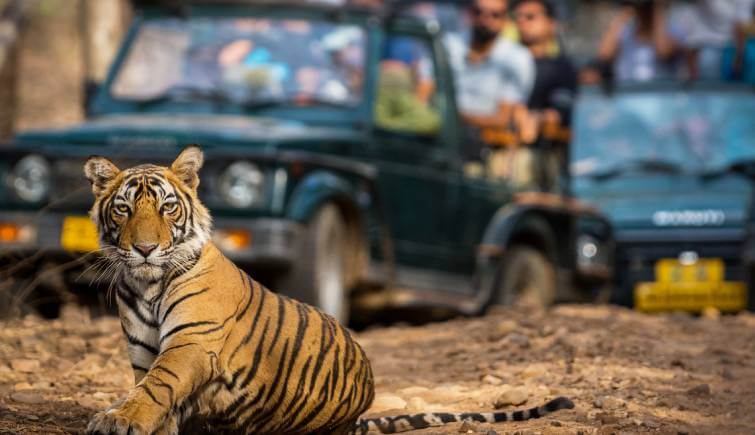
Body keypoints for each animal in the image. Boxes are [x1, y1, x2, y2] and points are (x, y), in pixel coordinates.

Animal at [82, 147, 576, 435]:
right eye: (124, 209)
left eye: (167, 208)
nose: (146, 249)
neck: (146, 284)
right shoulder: (142, 350)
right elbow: (153, 390)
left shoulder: (192, 342)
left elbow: (158, 386)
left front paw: (119, 419)